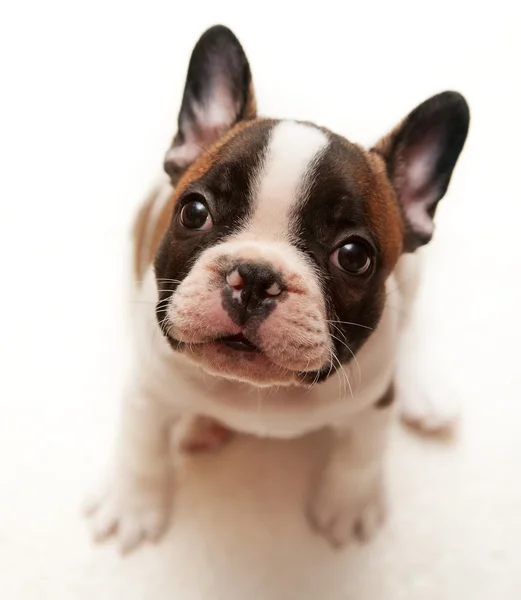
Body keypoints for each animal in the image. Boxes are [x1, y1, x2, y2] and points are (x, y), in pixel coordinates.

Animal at [84, 27, 468, 552]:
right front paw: (132, 505)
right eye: (194, 212)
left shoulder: (372, 404)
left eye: (354, 257)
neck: (258, 390)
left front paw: (348, 506)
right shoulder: (148, 388)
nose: (255, 277)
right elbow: (140, 445)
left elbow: (362, 454)